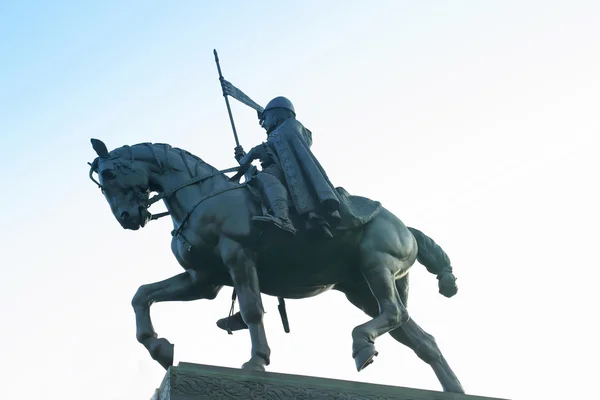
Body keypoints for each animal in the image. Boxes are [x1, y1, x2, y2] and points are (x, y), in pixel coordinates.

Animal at [88, 138, 464, 394]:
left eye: (110, 173)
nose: (128, 218)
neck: (203, 197)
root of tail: (405, 227)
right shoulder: (203, 280)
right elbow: (142, 296)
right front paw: (160, 347)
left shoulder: (239, 258)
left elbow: (253, 309)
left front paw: (257, 361)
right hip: (363, 290)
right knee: (420, 337)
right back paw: (453, 389)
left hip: (376, 267)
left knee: (395, 314)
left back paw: (361, 344)